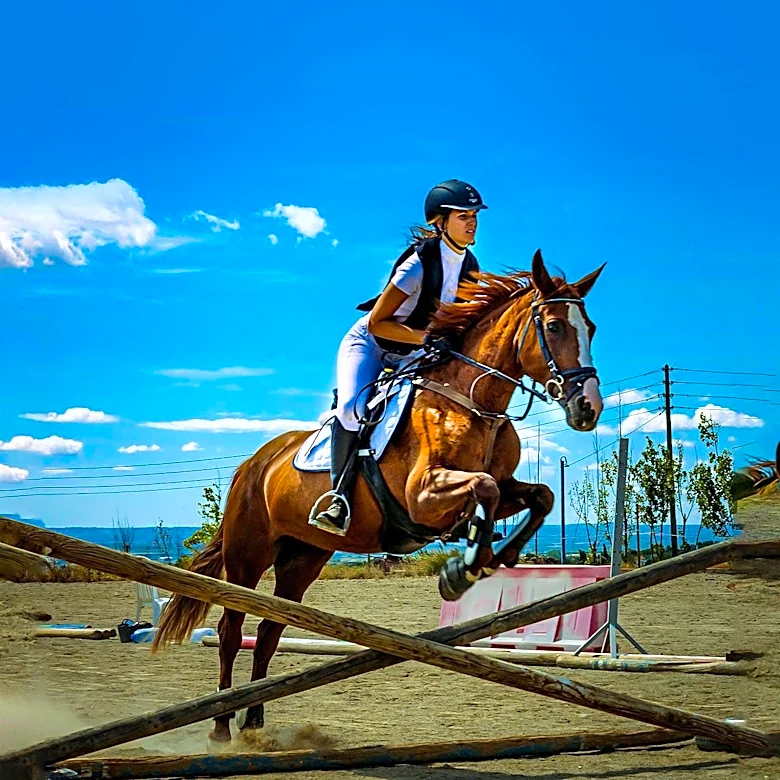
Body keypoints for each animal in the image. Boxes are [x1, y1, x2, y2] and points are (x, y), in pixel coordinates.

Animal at [152, 250, 605, 743]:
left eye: (591, 327)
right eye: (555, 326)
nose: (588, 408)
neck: (470, 401)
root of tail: (253, 464)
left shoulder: (500, 488)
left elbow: (539, 496)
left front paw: (492, 559)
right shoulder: (422, 497)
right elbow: (482, 489)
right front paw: (461, 570)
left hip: (302, 557)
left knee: (270, 630)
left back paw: (253, 721)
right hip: (247, 555)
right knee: (232, 629)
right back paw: (221, 724)